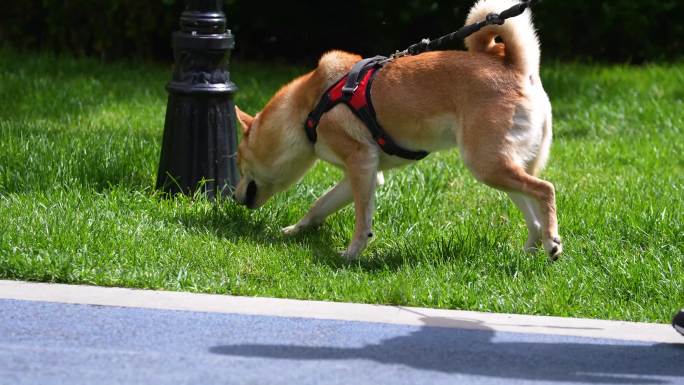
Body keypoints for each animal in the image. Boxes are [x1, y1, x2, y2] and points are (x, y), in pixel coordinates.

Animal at [234, 0, 560, 260]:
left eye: (239, 164)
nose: (234, 198)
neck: (308, 108)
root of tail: (518, 68)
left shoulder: (360, 163)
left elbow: (362, 221)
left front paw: (351, 254)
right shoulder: (364, 174)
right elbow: (319, 205)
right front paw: (294, 231)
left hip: (486, 164)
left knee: (545, 189)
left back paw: (552, 244)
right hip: (500, 167)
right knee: (533, 214)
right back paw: (533, 249)